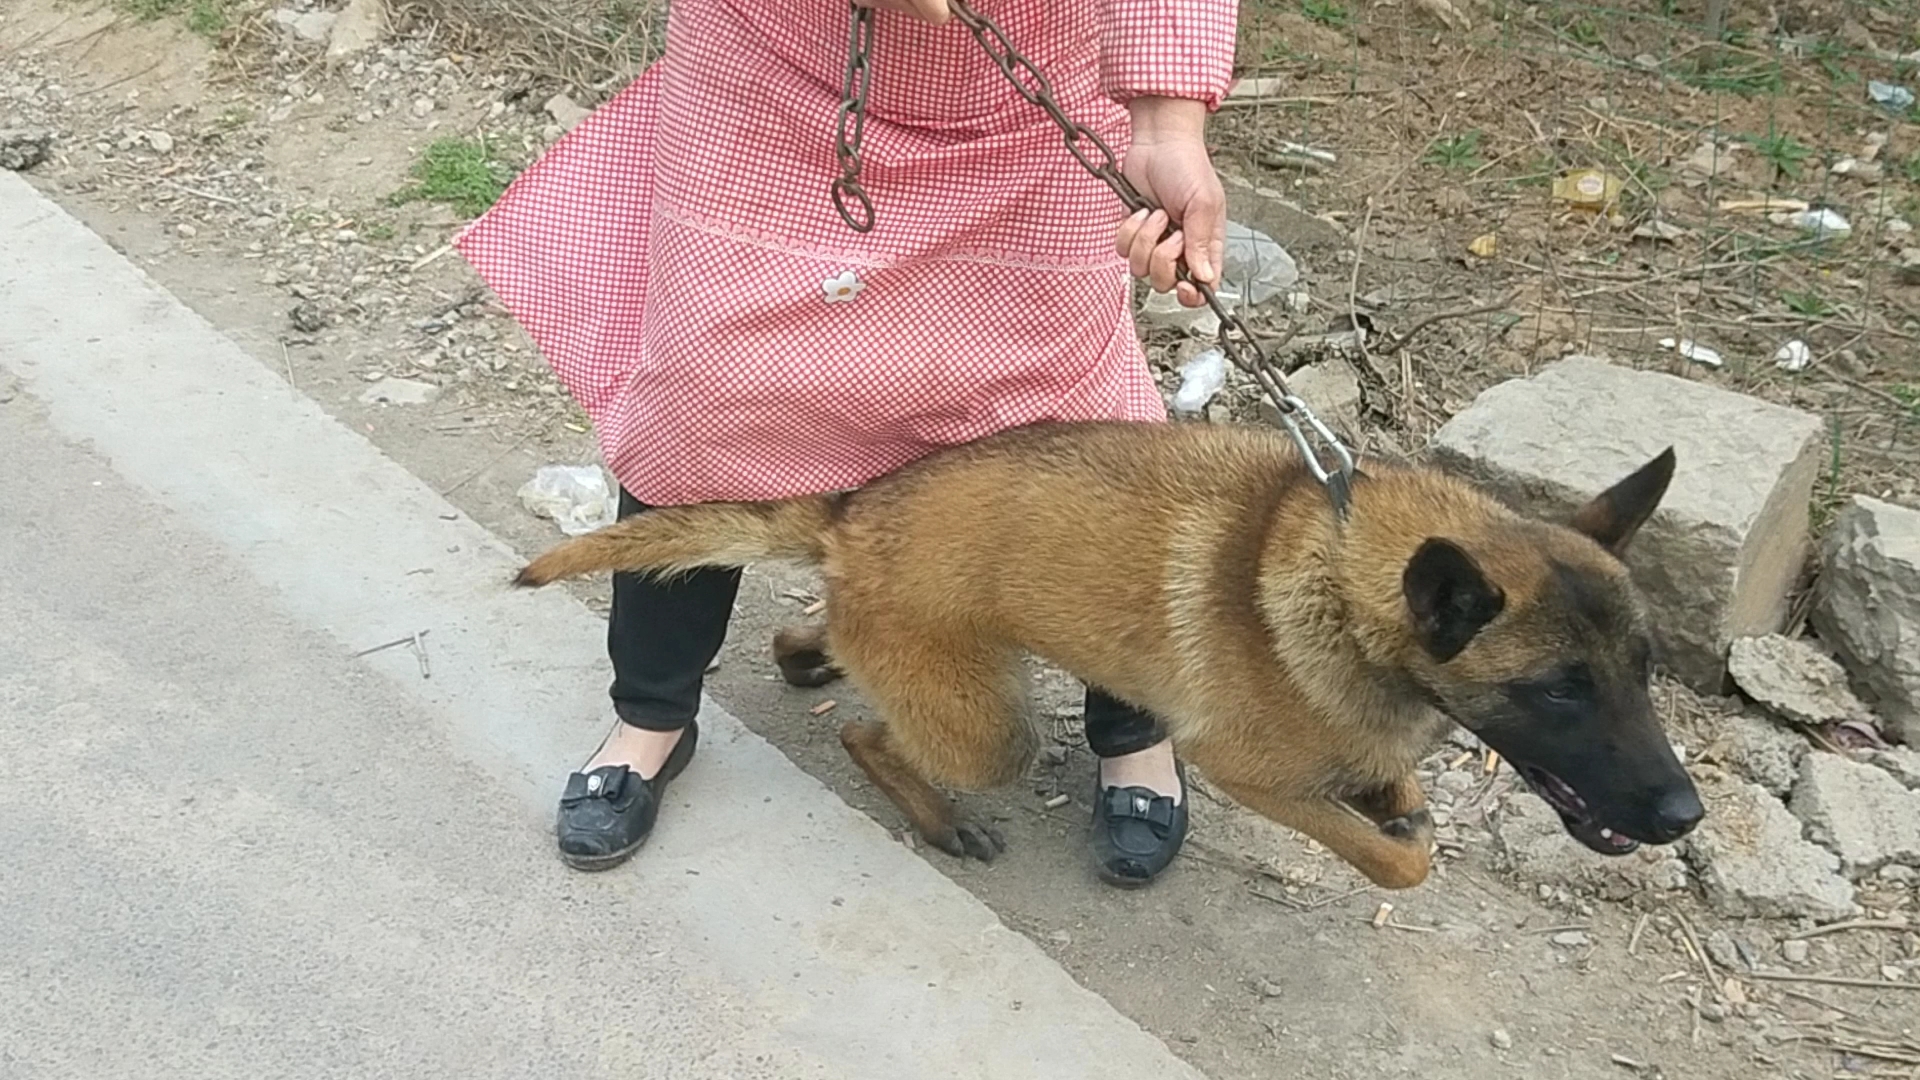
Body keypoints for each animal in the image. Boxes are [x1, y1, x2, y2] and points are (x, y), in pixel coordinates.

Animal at [506, 417, 1697, 887]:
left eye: (1642, 671)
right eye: (1559, 693)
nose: (1686, 816)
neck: (1346, 575)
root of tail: (852, 516)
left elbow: (1389, 784)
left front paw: (1397, 793)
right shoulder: (1245, 772)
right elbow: (1398, 857)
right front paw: (1399, 834)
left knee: (822, 646)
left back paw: (813, 652)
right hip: (989, 734)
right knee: (867, 735)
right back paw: (935, 815)